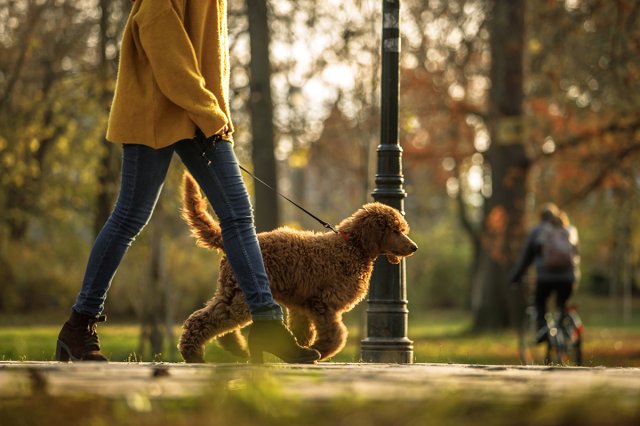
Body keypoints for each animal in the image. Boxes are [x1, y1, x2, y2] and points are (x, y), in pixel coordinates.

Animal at [178, 173, 418, 362]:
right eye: (395, 230)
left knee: (218, 319)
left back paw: (237, 349)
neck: (352, 246)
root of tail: (225, 239)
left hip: (232, 291)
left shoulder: (302, 305)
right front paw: (319, 350)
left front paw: (300, 349)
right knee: (206, 319)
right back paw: (193, 354)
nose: (414, 248)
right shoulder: (323, 303)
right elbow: (336, 335)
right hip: (241, 295)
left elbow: (303, 331)